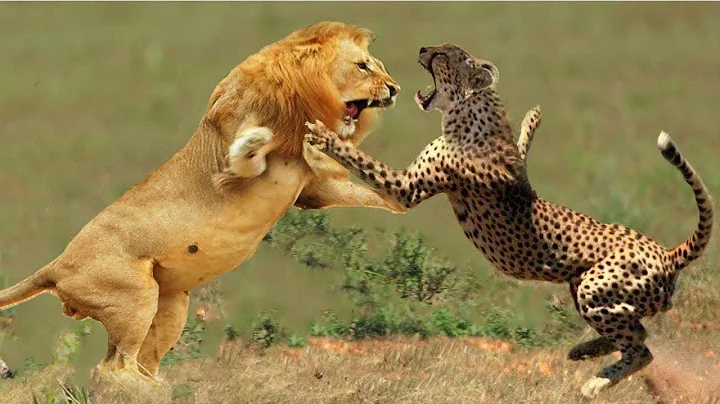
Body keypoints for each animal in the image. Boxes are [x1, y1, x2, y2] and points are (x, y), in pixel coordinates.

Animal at [0, 22, 405, 388]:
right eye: (363, 66)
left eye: (379, 65)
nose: (395, 88)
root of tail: (57, 265)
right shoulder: (227, 161)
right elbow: (248, 156)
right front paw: (261, 141)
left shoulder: (313, 189)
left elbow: (361, 193)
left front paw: (397, 193)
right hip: (135, 295)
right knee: (111, 368)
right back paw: (158, 391)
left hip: (171, 303)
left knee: (133, 363)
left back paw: (158, 385)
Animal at [304, 43, 713, 398]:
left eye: (445, 54)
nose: (422, 49)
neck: (466, 110)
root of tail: (667, 253)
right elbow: (521, 150)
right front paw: (532, 118)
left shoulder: (407, 187)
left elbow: (361, 160)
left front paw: (323, 135)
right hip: (583, 285)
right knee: (638, 333)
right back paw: (582, 351)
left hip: (593, 288)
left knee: (641, 345)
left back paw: (595, 382)